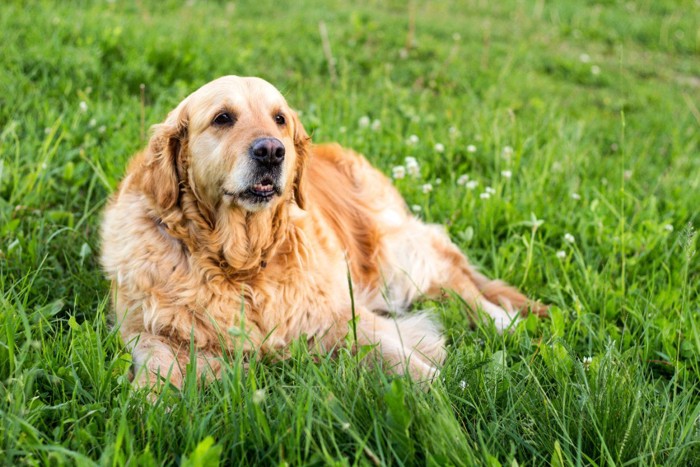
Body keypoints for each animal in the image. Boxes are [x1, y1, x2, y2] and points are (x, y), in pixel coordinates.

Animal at [100, 75, 548, 386]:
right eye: (222, 118)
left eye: (279, 119)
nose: (272, 151)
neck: (241, 263)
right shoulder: (148, 329)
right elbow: (157, 372)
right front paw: (150, 403)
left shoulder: (339, 314)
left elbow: (397, 355)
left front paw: (444, 395)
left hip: (396, 257)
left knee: (459, 281)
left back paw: (502, 322)